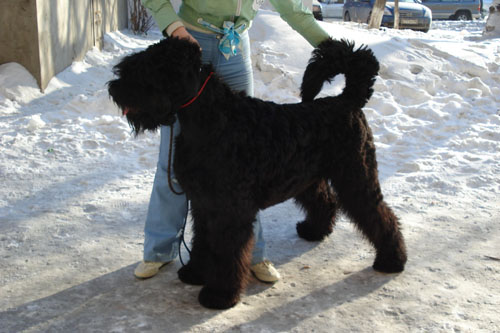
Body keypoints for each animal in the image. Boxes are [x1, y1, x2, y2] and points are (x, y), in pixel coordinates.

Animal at [108, 37, 406, 308]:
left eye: (149, 68)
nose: (114, 89)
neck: (212, 121)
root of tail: (348, 101)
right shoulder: (204, 203)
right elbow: (203, 241)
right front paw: (195, 272)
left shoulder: (230, 211)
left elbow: (227, 252)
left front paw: (220, 295)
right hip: (309, 180)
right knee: (327, 201)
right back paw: (314, 230)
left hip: (356, 177)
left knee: (382, 215)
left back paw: (392, 260)